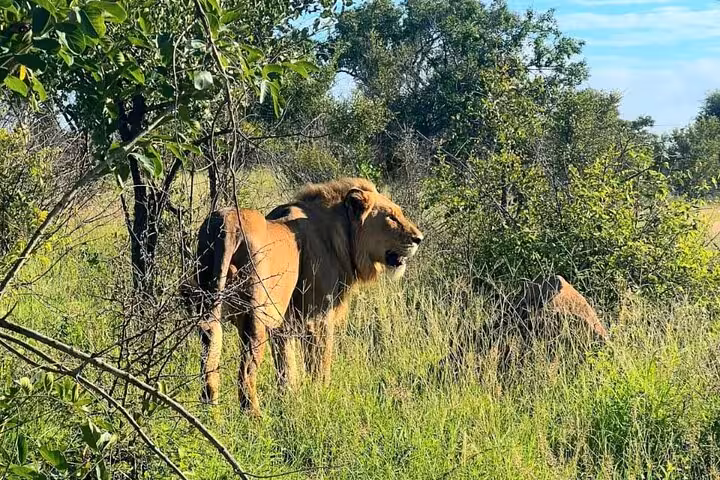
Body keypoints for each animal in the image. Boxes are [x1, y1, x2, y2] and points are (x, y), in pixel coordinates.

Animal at [184, 178, 424, 414]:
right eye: (391, 217)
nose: (419, 238)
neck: (343, 235)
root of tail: (227, 224)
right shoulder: (318, 317)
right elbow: (319, 363)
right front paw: (321, 395)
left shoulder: (284, 323)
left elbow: (286, 364)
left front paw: (289, 397)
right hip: (255, 317)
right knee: (246, 372)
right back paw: (254, 417)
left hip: (209, 302)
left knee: (210, 352)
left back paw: (210, 414)